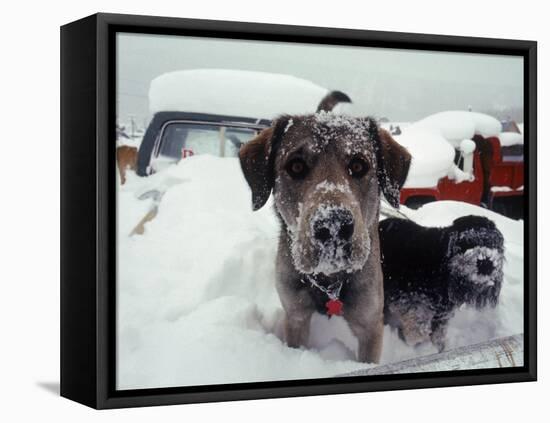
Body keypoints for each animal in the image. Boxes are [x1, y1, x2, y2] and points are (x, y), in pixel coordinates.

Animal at [239, 113, 412, 364]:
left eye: (358, 165)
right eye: (296, 166)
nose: (333, 226)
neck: (329, 279)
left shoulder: (370, 323)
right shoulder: (295, 314)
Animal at [382, 217, 506, 352]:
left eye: (494, 244)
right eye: (468, 242)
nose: (486, 263)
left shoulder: (442, 314)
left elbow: (438, 333)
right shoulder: (409, 299)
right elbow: (418, 328)